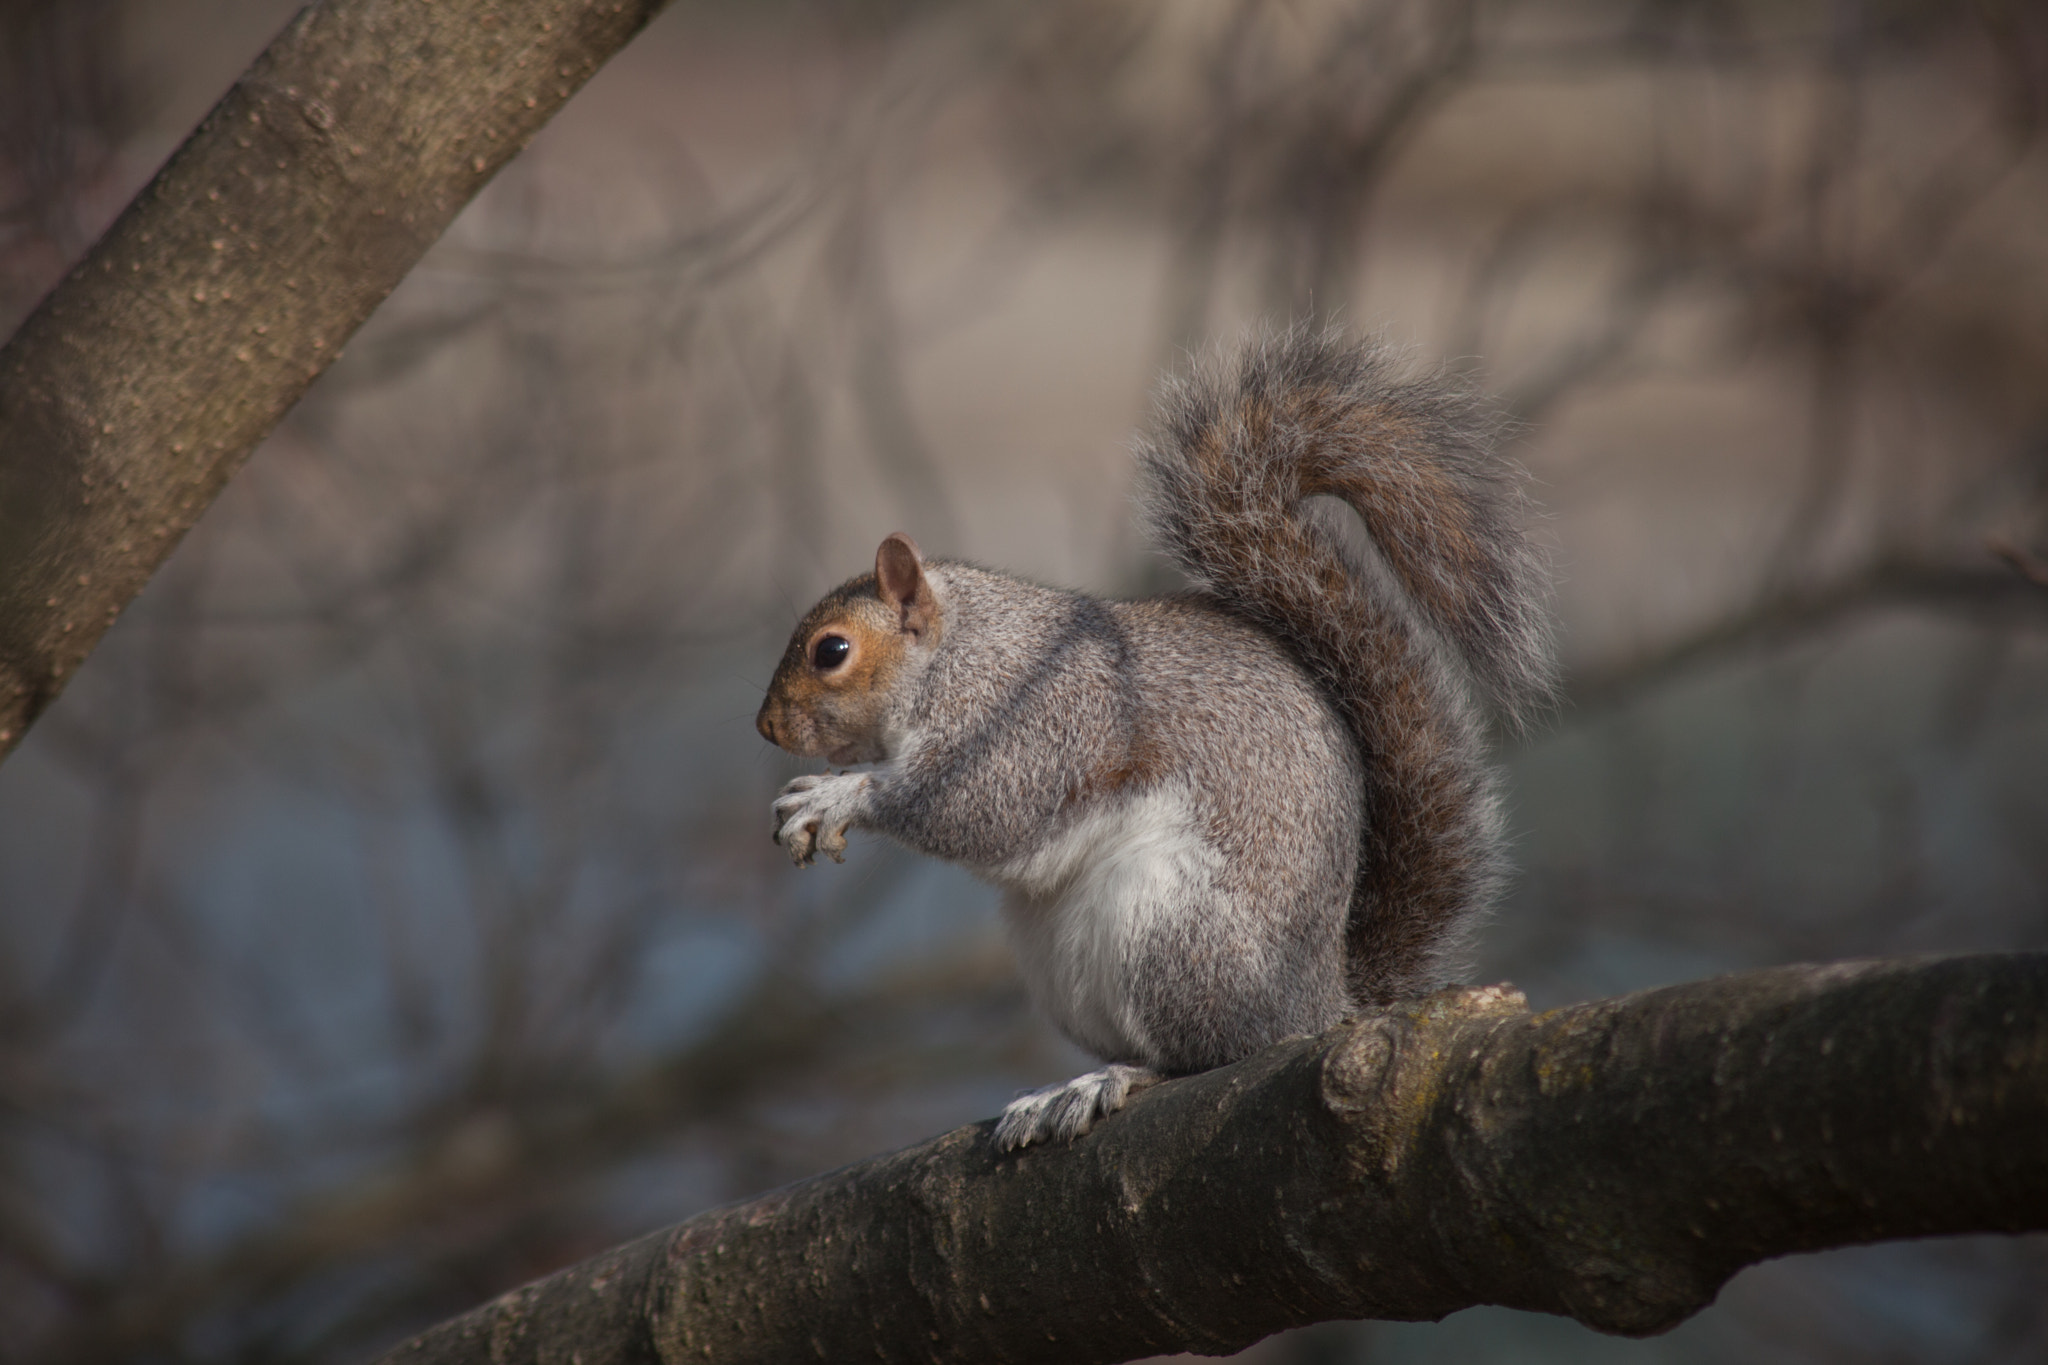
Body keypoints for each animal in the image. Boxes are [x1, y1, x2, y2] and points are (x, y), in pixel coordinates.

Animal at [753, 327, 1548, 1154]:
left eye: (832, 651)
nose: (765, 726)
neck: (962, 649)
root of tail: (1321, 1006)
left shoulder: (1048, 712)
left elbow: (979, 802)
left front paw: (837, 795)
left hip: (1169, 931)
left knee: (1203, 1053)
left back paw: (1110, 1079)